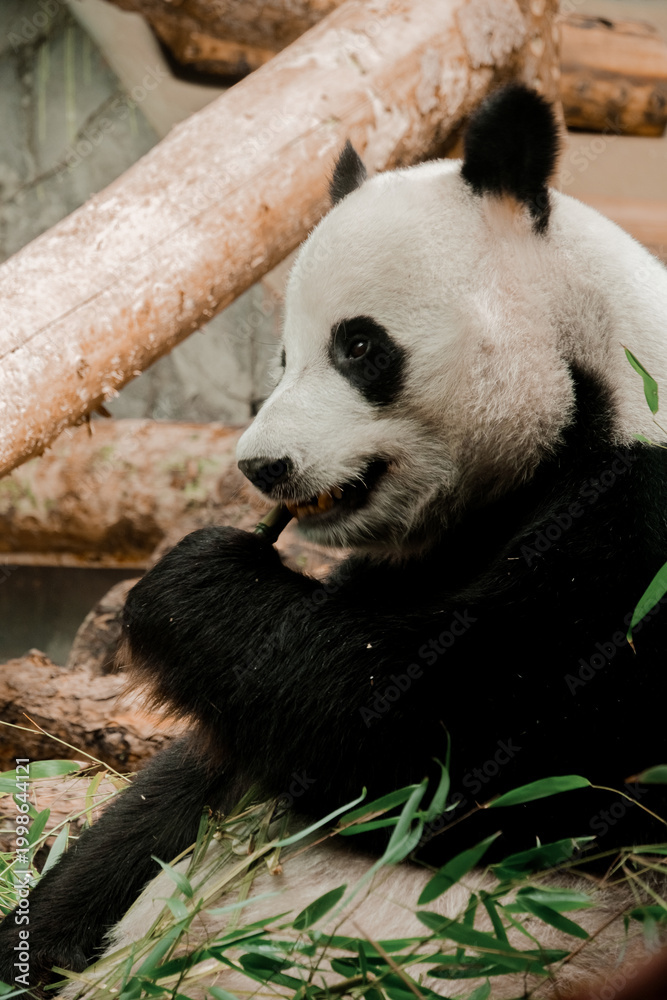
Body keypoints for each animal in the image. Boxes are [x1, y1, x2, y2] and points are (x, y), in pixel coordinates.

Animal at [2, 83, 667, 993]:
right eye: (283, 357)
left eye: (358, 344)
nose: (263, 468)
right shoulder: (423, 555)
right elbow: (185, 786)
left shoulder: (640, 533)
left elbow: (452, 741)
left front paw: (189, 587)